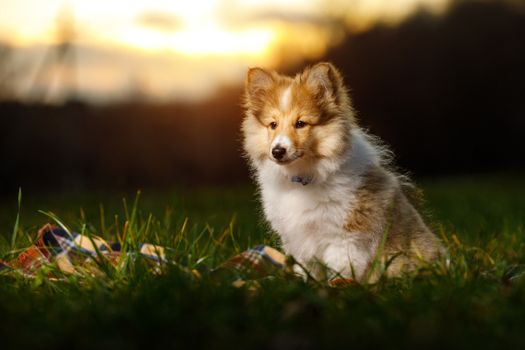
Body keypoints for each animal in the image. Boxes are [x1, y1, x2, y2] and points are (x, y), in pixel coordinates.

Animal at [242, 62, 442, 282]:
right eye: (273, 124)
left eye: (301, 123)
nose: (277, 151)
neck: (304, 177)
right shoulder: (300, 241)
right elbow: (307, 271)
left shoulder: (345, 238)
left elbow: (340, 272)